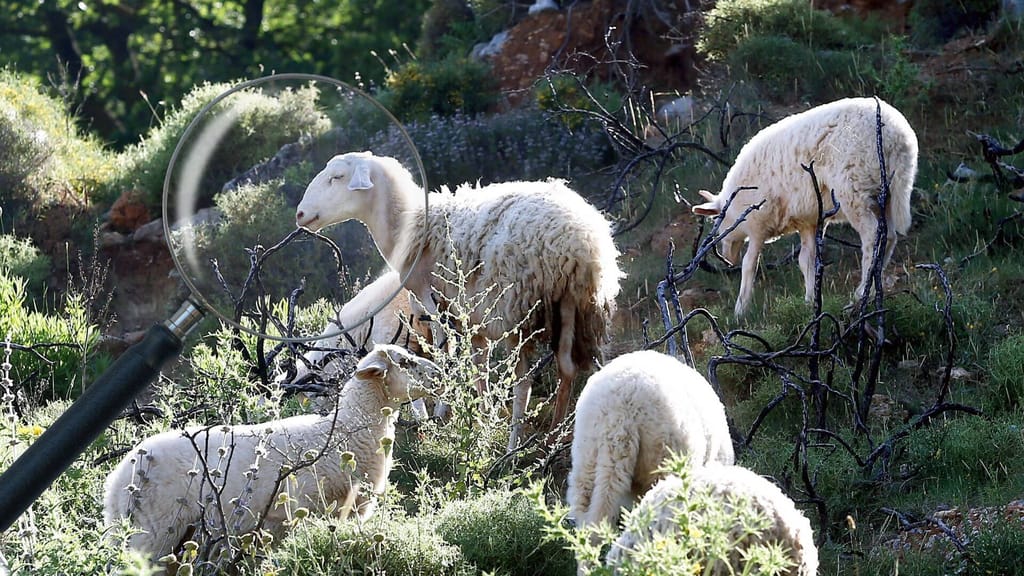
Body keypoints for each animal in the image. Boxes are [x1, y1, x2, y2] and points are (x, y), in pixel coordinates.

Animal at [102, 344, 439, 559]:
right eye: (405, 362)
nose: (440, 371)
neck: (347, 429)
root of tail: (115, 483)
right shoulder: (302, 511)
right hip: (152, 532)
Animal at [295, 151, 622, 450]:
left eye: (336, 177)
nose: (300, 215)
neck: (409, 223)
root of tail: (578, 239)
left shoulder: (430, 305)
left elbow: (445, 355)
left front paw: (444, 413)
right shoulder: (471, 318)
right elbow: (477, 368)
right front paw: (483, 418)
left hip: (517, 308)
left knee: (523, 382)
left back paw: (513, 447)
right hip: (576, 305)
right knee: (567, 368)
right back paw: (554, 437)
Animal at [692, 96, 918, 316]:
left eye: (718, 222)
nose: (727, 259)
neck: (735, 204)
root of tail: (898, 138)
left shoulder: (759, 220)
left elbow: (749, 264)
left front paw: (741, 310)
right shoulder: (809, 219)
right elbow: (807, 260)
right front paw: (811, 300)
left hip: (854, 188)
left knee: (872, 235)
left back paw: (861, 293)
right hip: (886, 192)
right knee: (889, 236)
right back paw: (871, 290)